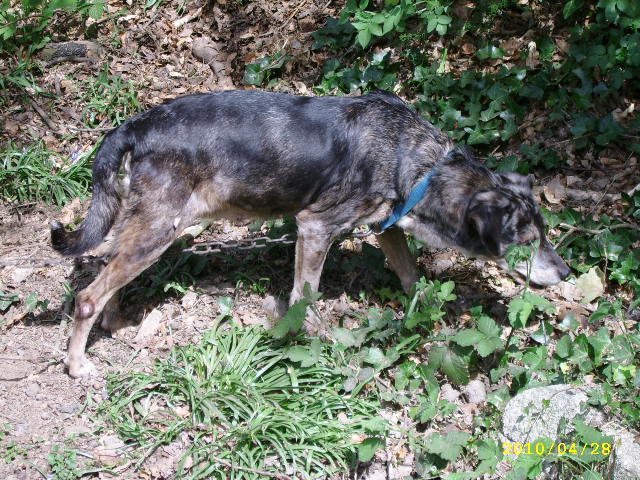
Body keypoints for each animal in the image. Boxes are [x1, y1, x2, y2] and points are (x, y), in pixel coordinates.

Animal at [51, 88, 568, 376]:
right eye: (527, 243)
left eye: (545, 234)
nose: (566, 272)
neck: (417, 163)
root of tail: (133, 126)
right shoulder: (316, 228)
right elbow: (306, 296)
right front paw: (323, 341)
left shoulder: (386, 228)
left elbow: (410, 276)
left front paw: (422, 315)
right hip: (160, 230)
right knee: (88, 295)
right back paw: (76, 364)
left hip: (145, 229)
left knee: (107, 273)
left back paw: (116, 322)